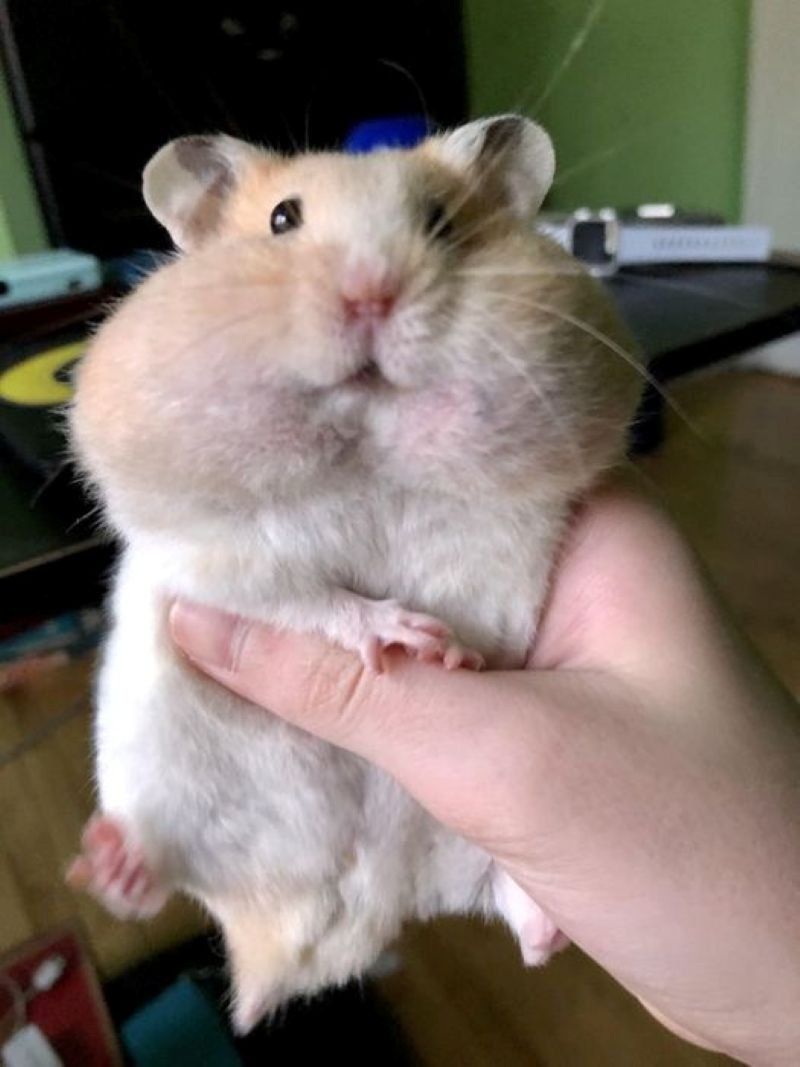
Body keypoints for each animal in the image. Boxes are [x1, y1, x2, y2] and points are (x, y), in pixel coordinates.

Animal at [67, 115, 640, 1031]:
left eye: (442, 222)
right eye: (282, 220)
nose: (373, 294)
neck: (364, 461)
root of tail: (348, 919)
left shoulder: (507, 532)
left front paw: (455, 654)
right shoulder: (220, 562)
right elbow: (311, 600)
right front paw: (409, 635)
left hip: (492, 850)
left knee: (515, 908)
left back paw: (548, 924)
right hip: (164, 777)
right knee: (160, 872)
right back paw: (109, 859)